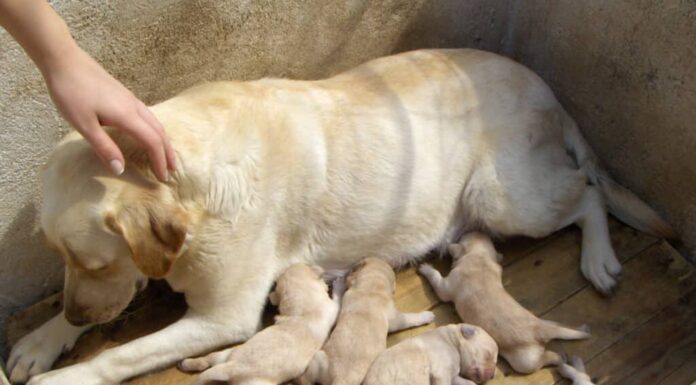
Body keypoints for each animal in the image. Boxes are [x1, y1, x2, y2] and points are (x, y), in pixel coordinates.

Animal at [178, 264, 338, 384]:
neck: (304, 307)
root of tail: (232, 367)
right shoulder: (332, 308)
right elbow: (337, 300)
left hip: (225, 354)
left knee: (206, 361)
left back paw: (186, 363)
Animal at [294, 256, 436, 384]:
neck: (371, 288)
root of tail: (340, 379)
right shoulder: (396, 318)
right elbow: (410, 318)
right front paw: (427, 316)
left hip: (319, 358)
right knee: (304, 380)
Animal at [416, 232, 588, 374]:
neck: (480, 257)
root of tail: (541, 330)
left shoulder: (447, 286)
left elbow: (437, 278)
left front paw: (426, 268)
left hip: (525, 362)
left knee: (544, 359)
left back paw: (559, 357)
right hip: (547, 322)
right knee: (560, 326)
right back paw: (579, 329)